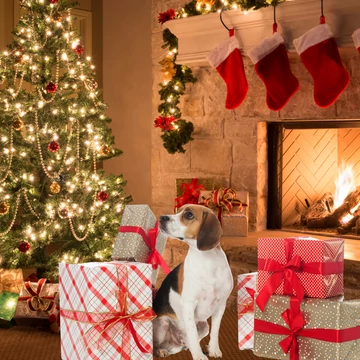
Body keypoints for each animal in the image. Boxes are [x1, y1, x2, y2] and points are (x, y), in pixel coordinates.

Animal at [153, 204, 233, 358]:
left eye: (189, 215)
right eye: (177, 211)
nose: (162, 217)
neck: (206, 260)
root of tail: (175, 342)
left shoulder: (221, 305)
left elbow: (215, 331)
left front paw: (214, 350)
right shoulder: (189, 304)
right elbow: (192, 333)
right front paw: (198, 356)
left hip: (204, 325)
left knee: (189, 340)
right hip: (162, 322)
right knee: (155, 344)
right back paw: (161, 351)